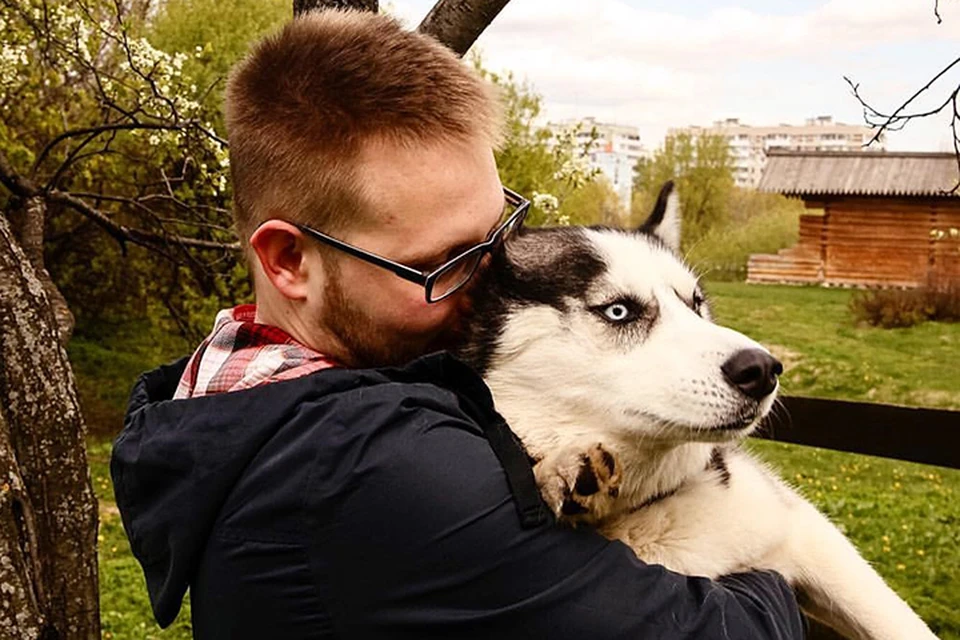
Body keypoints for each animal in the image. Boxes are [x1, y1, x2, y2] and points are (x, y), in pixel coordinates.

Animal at [462, 181, 940, 640]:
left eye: (695, 304)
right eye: (618, 310)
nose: (762, 369)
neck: (651, 505)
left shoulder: (806, 533)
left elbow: (897, 621)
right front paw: (563, 470)